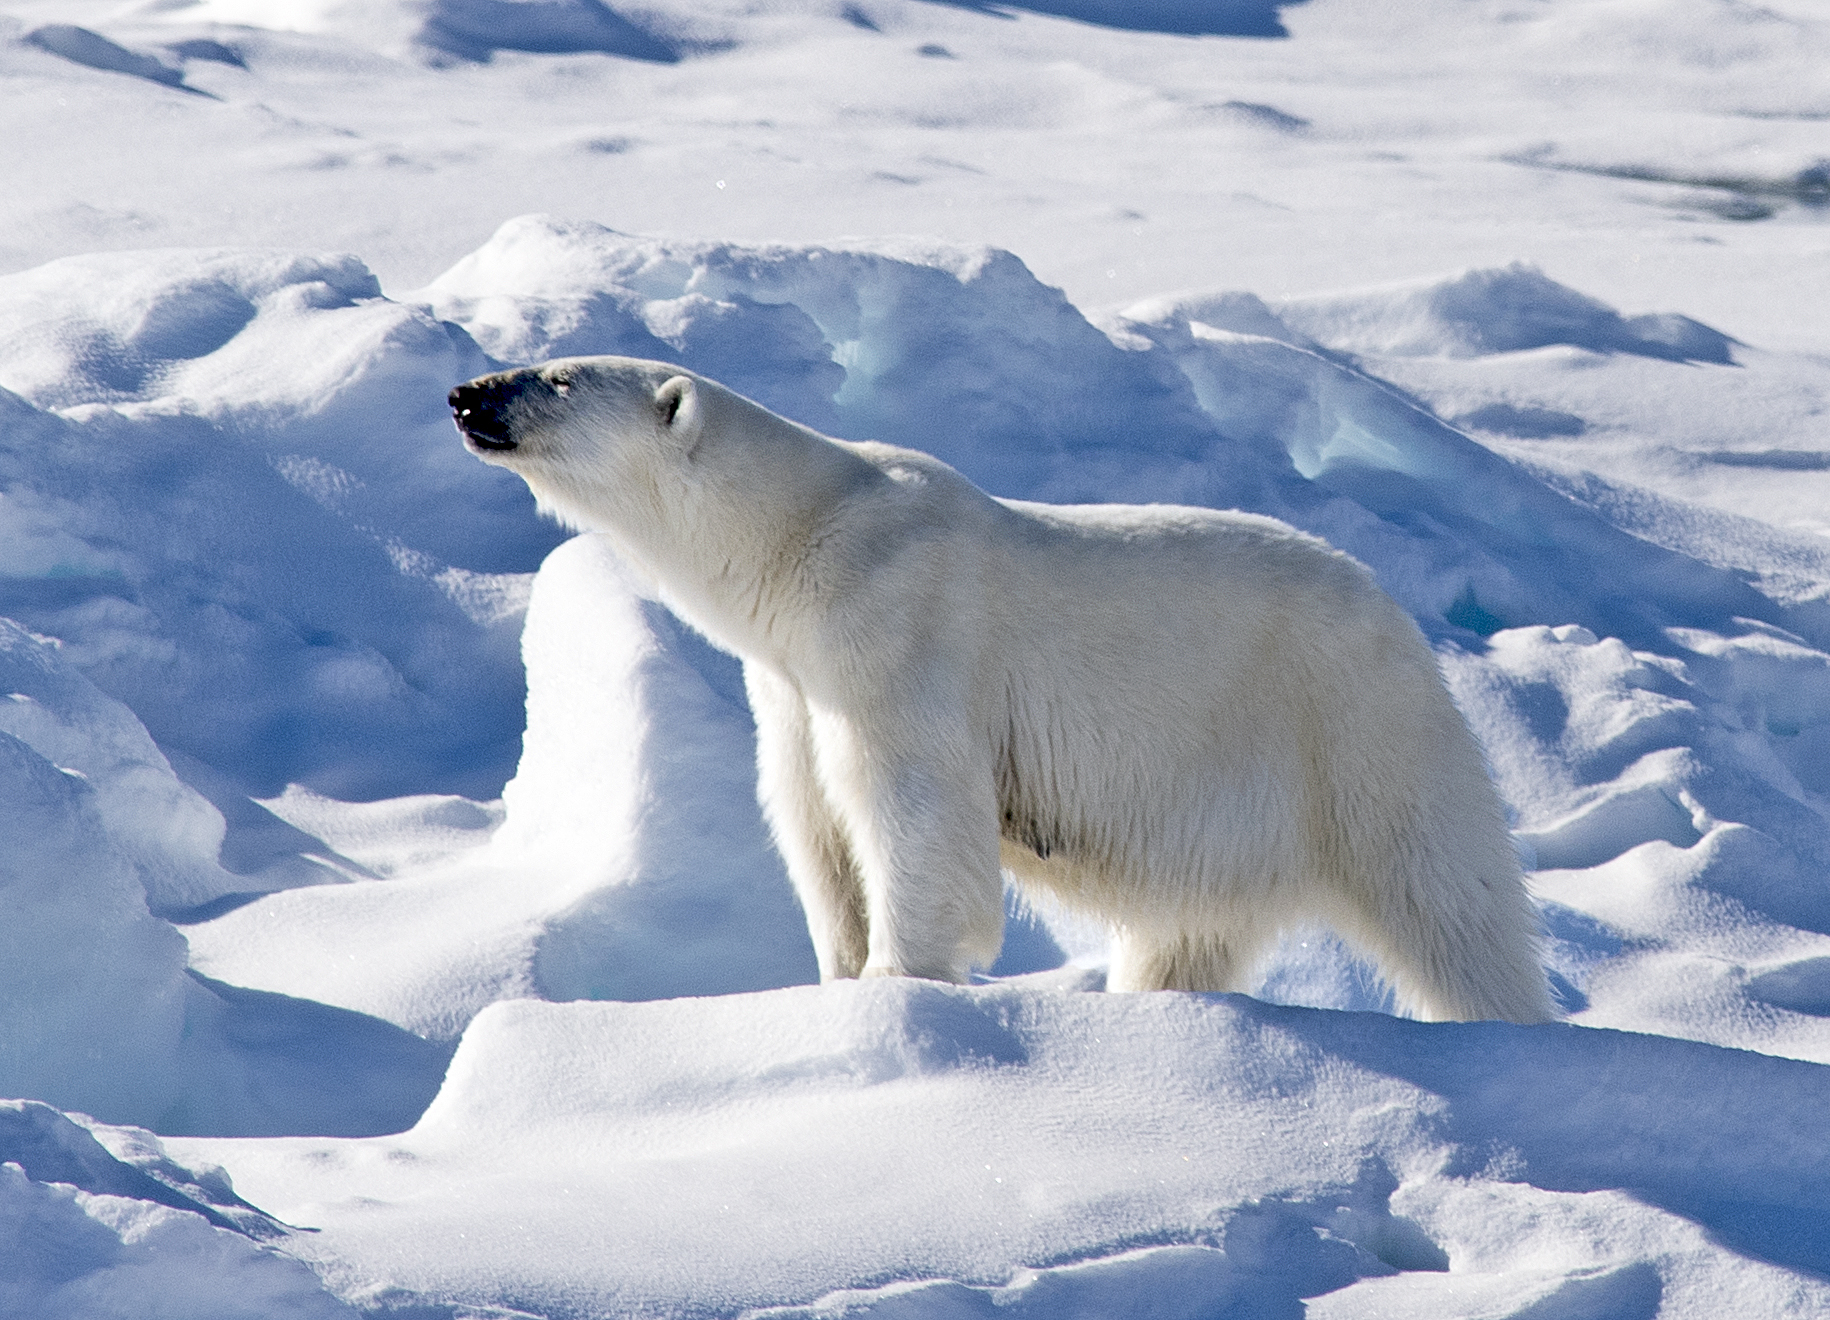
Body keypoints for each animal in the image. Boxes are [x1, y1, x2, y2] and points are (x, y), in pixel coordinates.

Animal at [450, 353, 1551, 1017]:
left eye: (557, 376)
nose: (465, 393)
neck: (805, 539)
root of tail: (1402, 620)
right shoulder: (793, 685)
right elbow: (813, 822)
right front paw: (838, 975)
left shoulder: (899, 638)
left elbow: (911, 811)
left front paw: (901, 983)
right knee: (1189, 934)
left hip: (1352, 731)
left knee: (1451, 902)